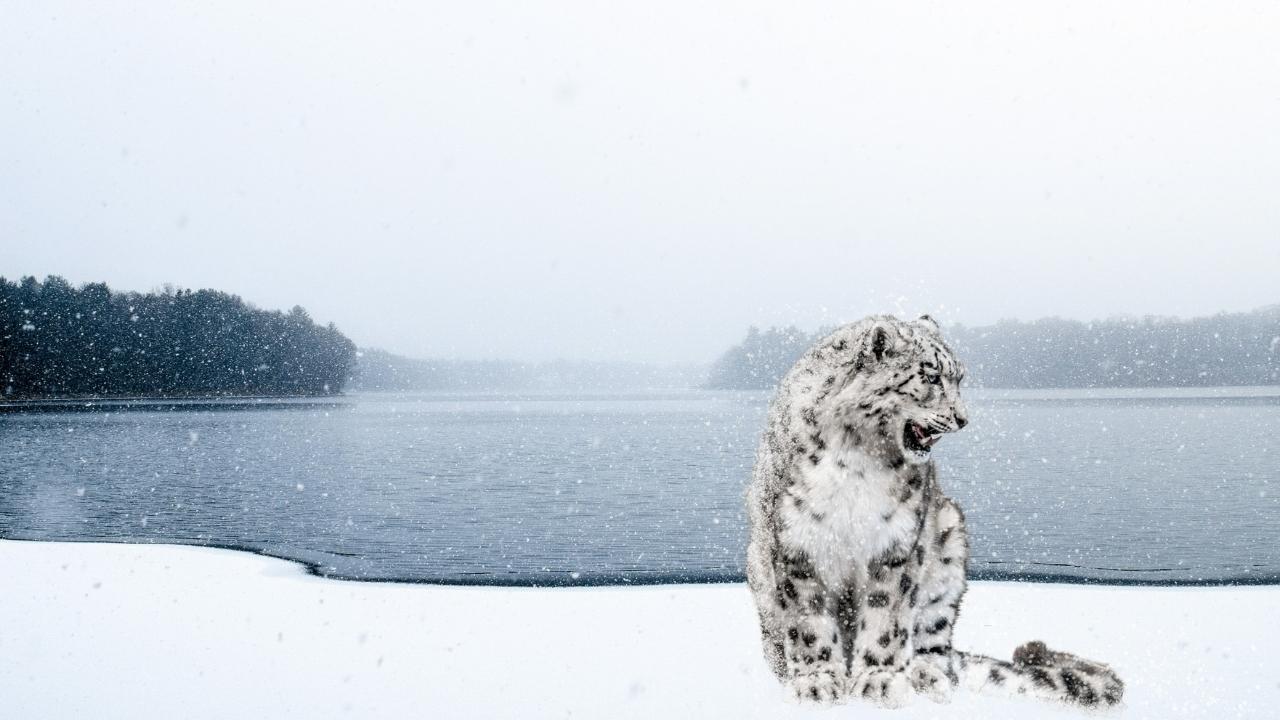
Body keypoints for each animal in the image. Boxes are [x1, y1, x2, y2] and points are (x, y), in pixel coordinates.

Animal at [745, 314, 1124, 708]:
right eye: (930, 376)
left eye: (959, 378)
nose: (962, 418)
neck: (858, 459)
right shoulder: (796, 541)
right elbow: (808, 621)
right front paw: (816, 683)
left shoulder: (897, 542)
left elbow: (887, 618)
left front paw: (879, 680)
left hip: (948, 546)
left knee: (936, 642)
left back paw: (926, 676)